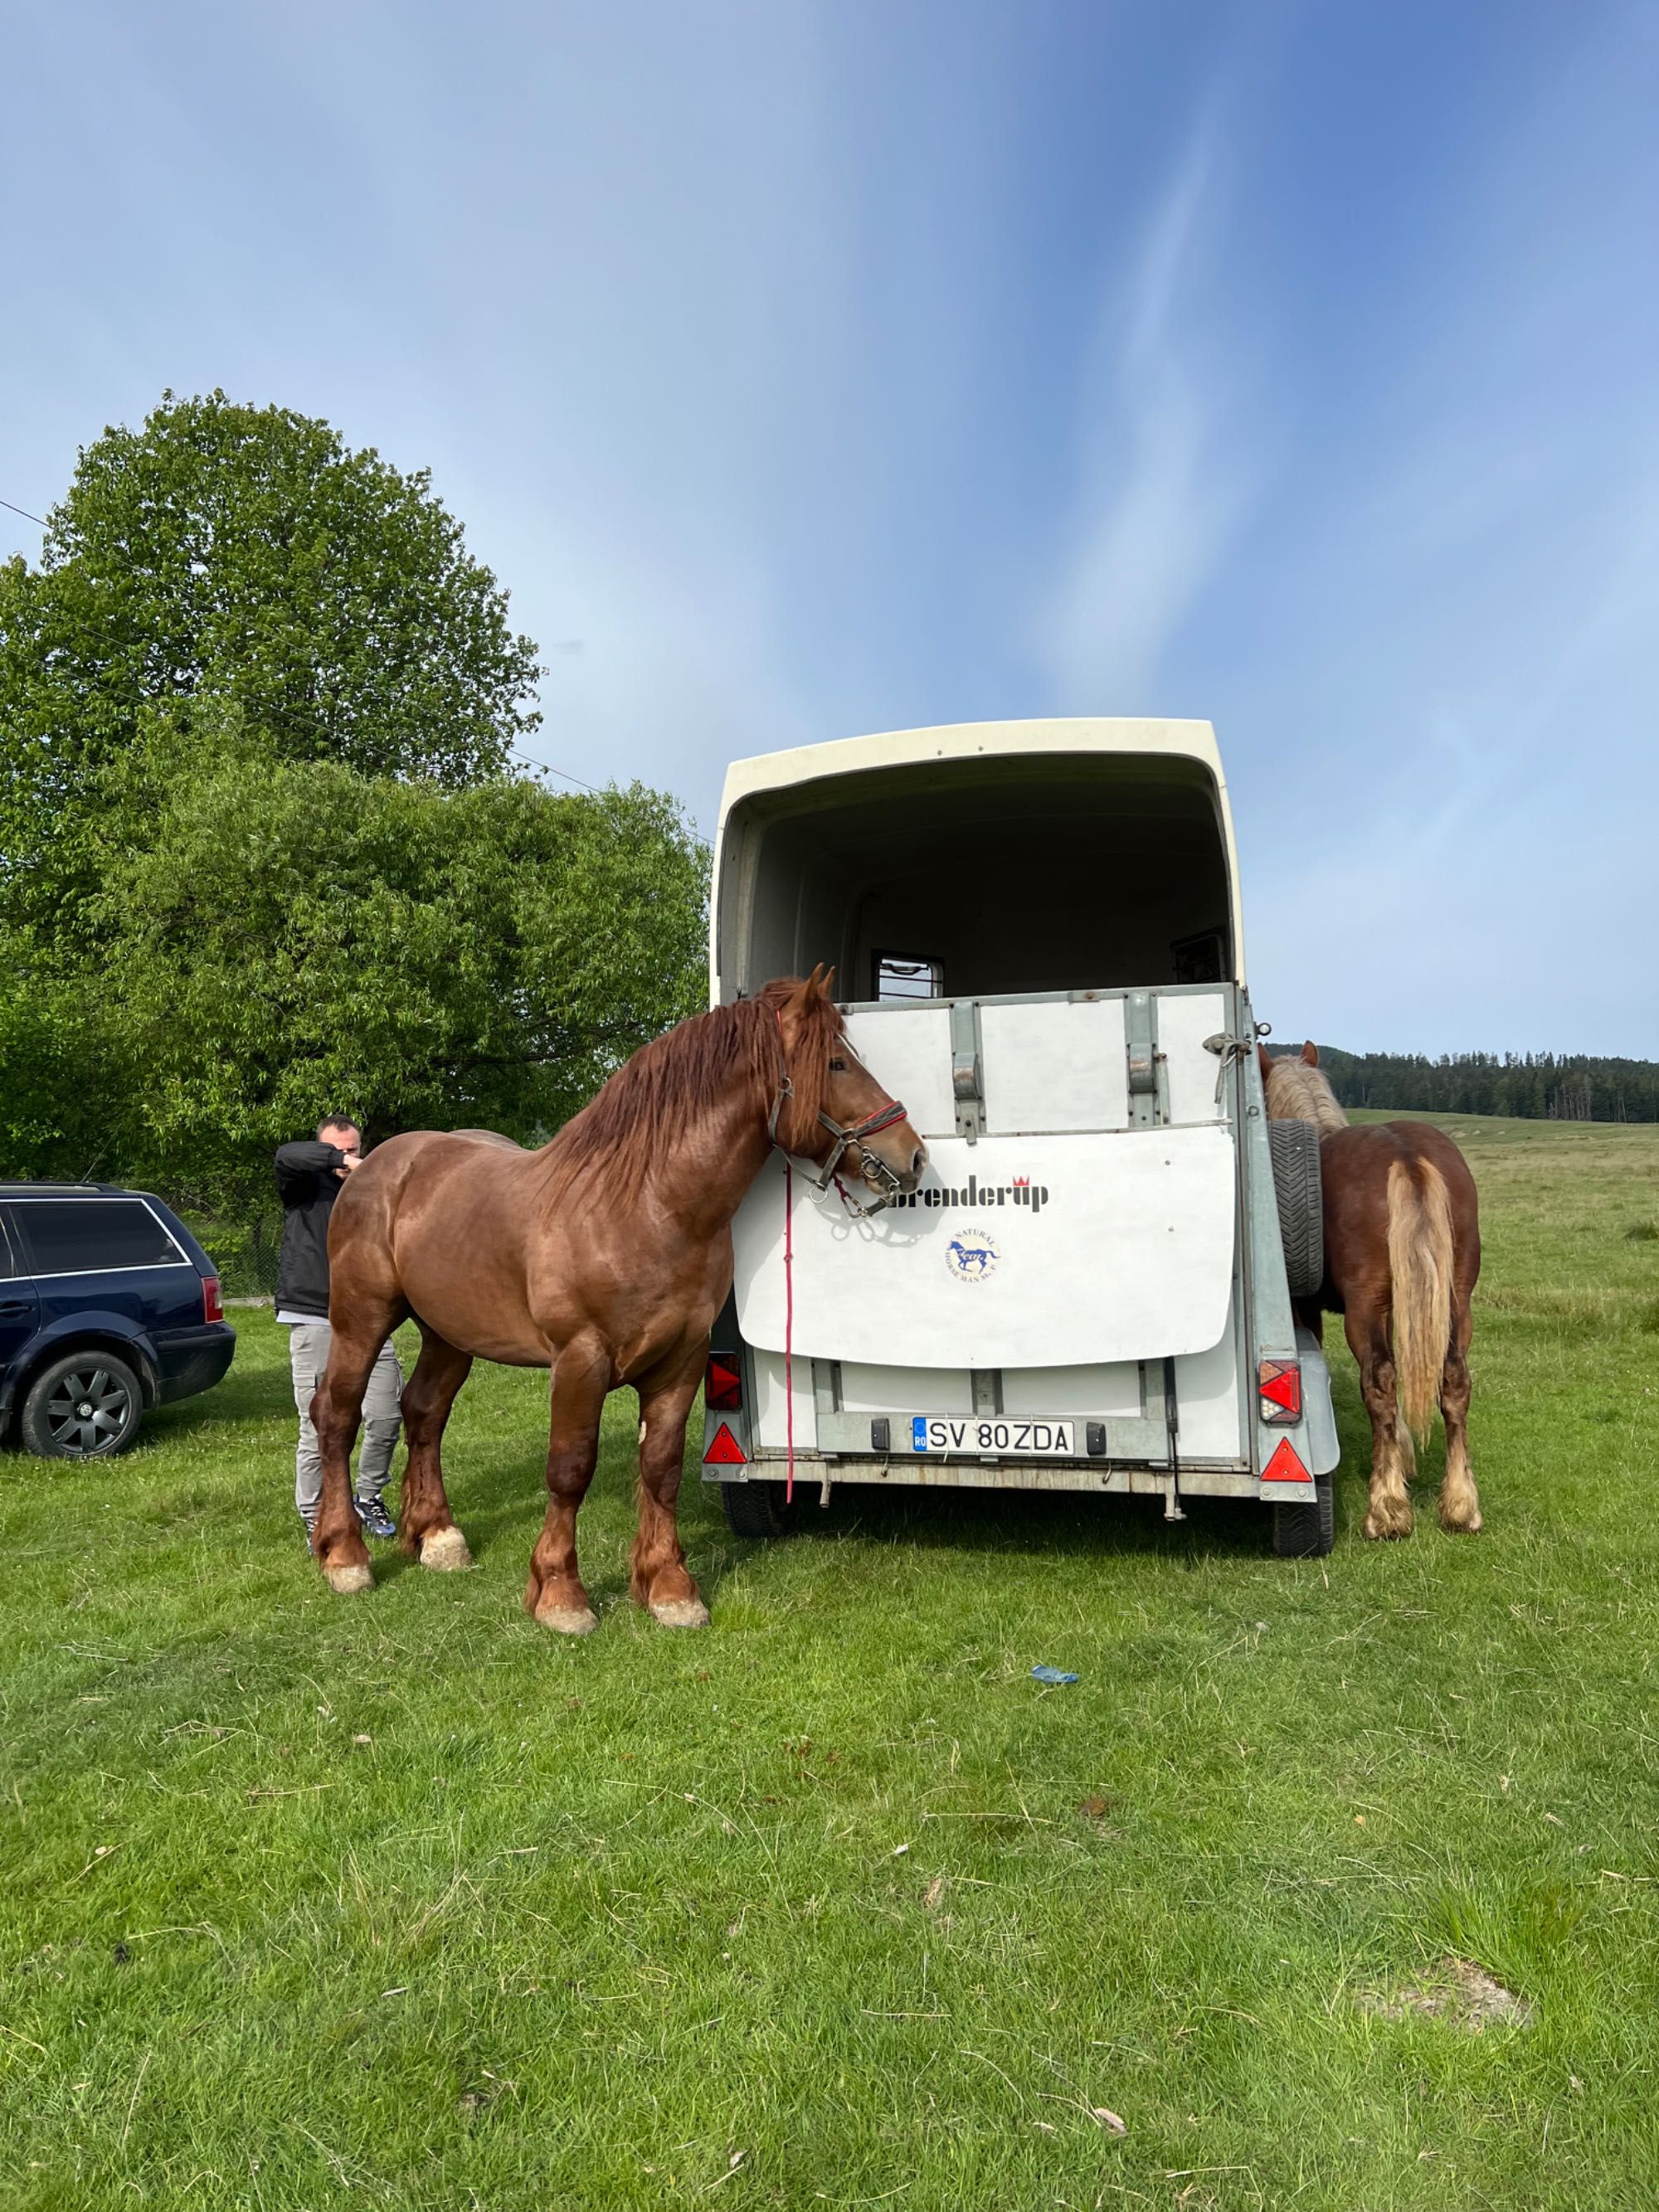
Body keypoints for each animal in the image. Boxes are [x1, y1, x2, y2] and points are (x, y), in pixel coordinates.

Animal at [307, 977, 929, 1636]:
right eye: (836, 1063)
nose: (914, 1155)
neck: (646, 1206)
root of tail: (374, 1166)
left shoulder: (683, 1360)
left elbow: (661, 1466)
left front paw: (670, 1588)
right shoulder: (581, 1360)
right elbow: (570, 1468)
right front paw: (560, 1594)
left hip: (448, 1334)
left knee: (424, 1413)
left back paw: (438, 1538)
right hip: (362, 1320)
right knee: (336, 1414)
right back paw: (345, 1556)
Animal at [1265, 1048, 1486, 1539]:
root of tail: (1407, 1157)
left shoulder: (1310, 1308)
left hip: (1364, 1309)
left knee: (1380, 1381)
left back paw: (1386, 1510)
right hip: (1456, 1302)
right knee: (1454, 1380)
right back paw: (1461, 1504)